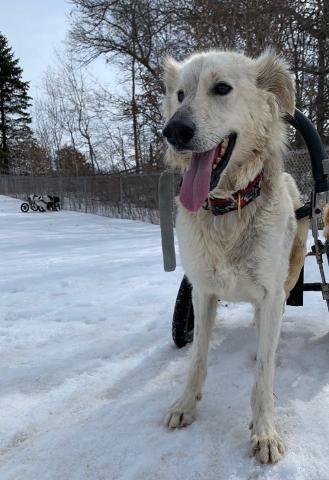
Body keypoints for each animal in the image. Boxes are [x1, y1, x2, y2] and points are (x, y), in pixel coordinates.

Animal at [161, 50, 308, 464]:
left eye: (222, 88)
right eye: (180, 94)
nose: (173, 131)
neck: (228, 208)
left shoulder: (272, 294)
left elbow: (263, 376)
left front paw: (264, 432)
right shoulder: (202, 291)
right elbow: (197, 358)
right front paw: (185, 404)